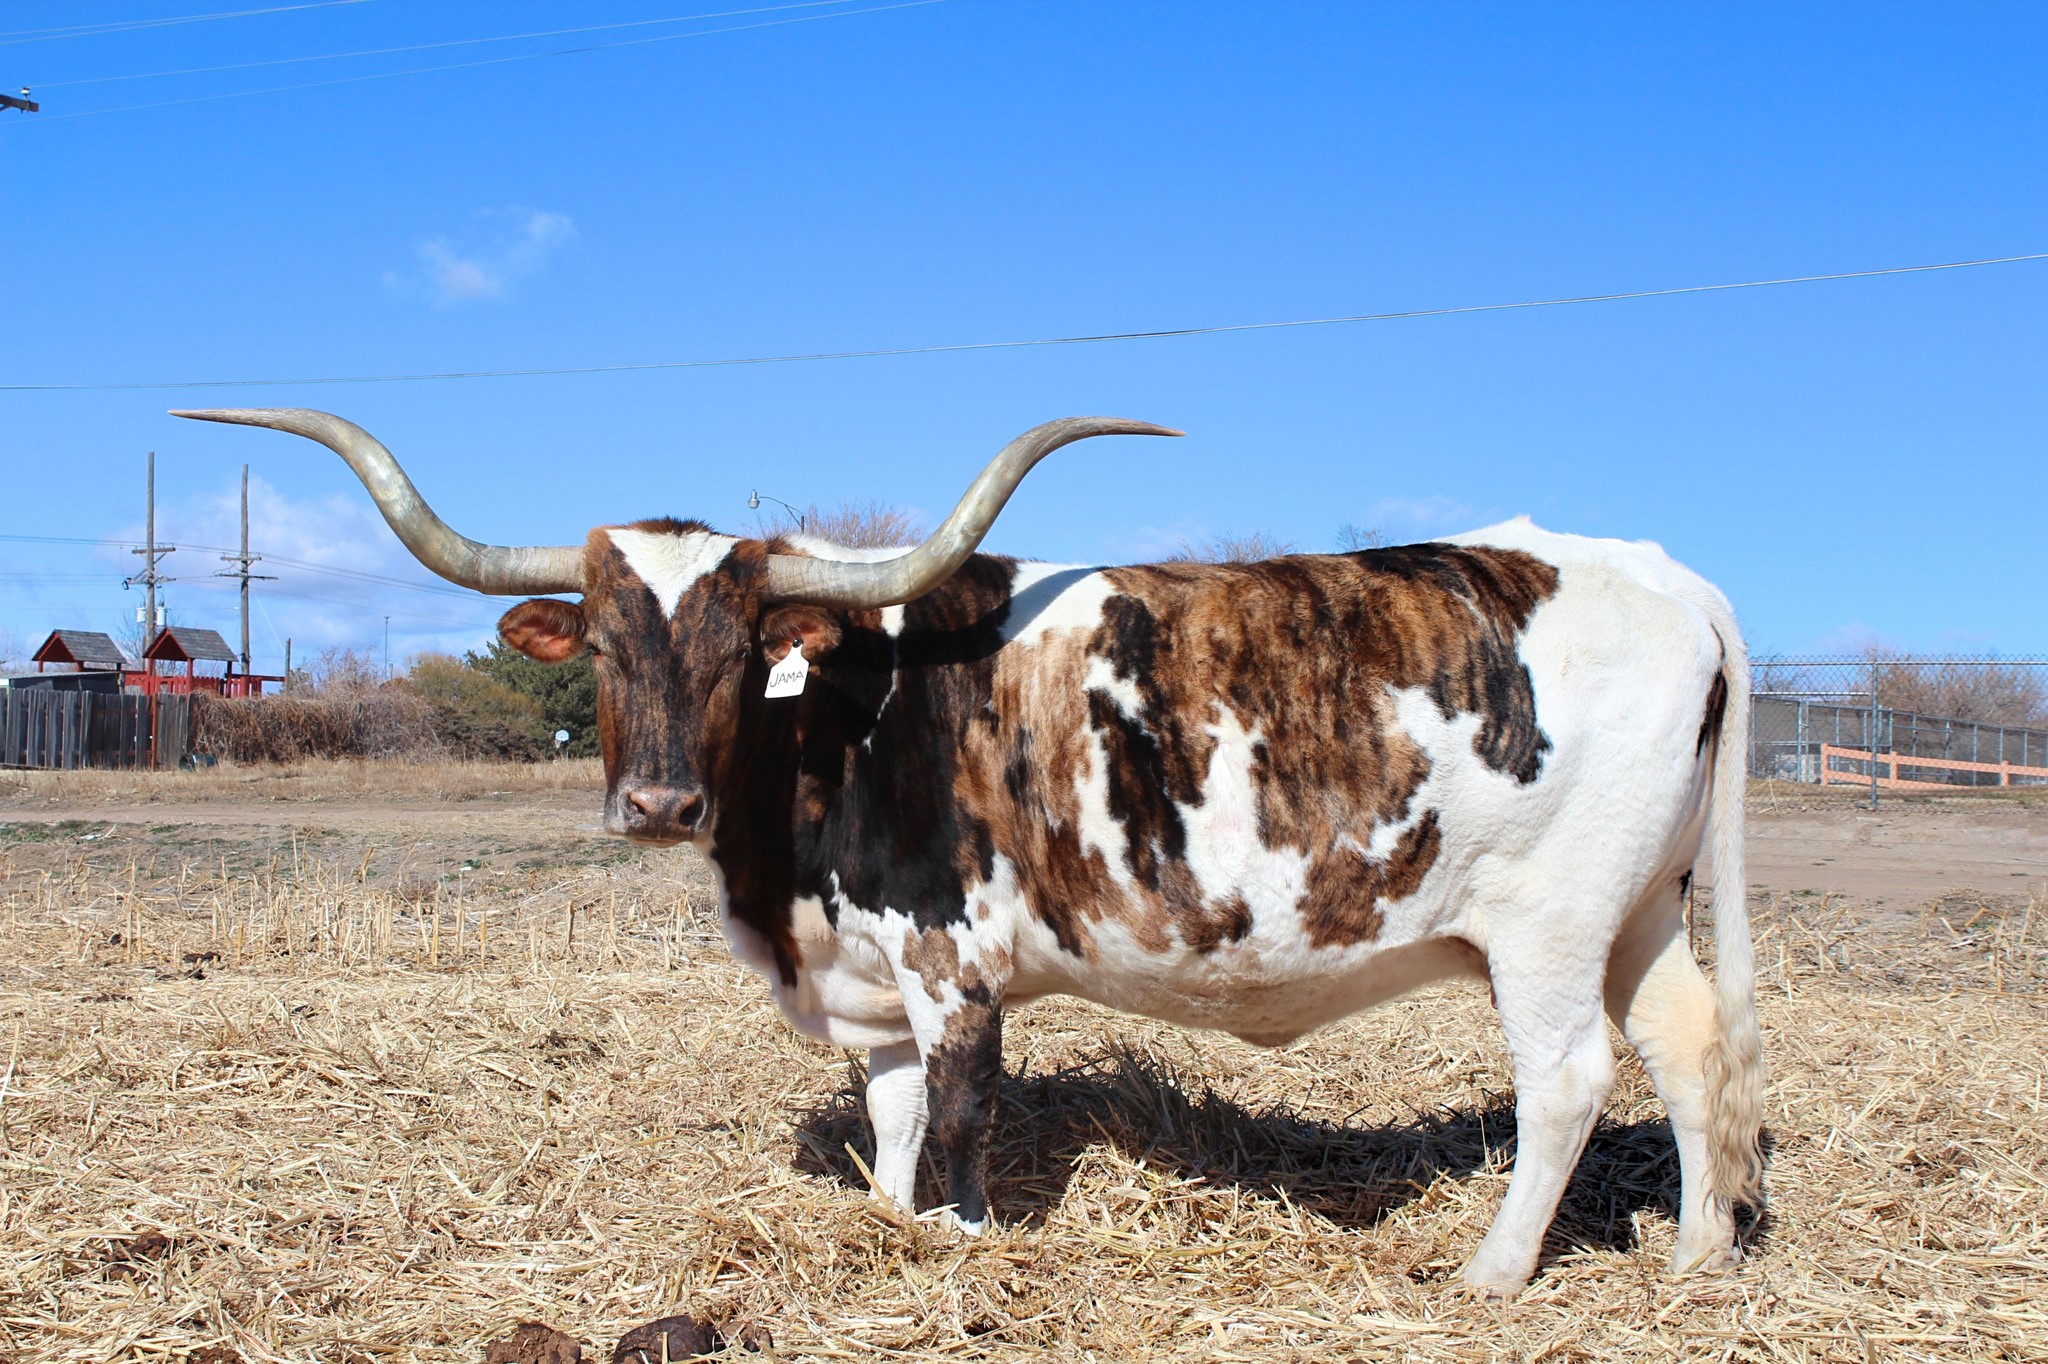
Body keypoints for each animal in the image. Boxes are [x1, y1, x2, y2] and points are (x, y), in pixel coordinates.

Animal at [173, 407, 1763, 1297]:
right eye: (611, 645)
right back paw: (1692, 1260)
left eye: (737, 649)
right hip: (1640, 913)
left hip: (1547, 927)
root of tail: (1659, 571)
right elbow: (887, 1136)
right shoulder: (870, 992)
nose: (660, 807)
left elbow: (955, 1127)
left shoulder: (952, 966)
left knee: (1566, 1080)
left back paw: (1487, 1274)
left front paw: (960, 1244)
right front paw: (887, 1225)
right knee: (1688, 1048)